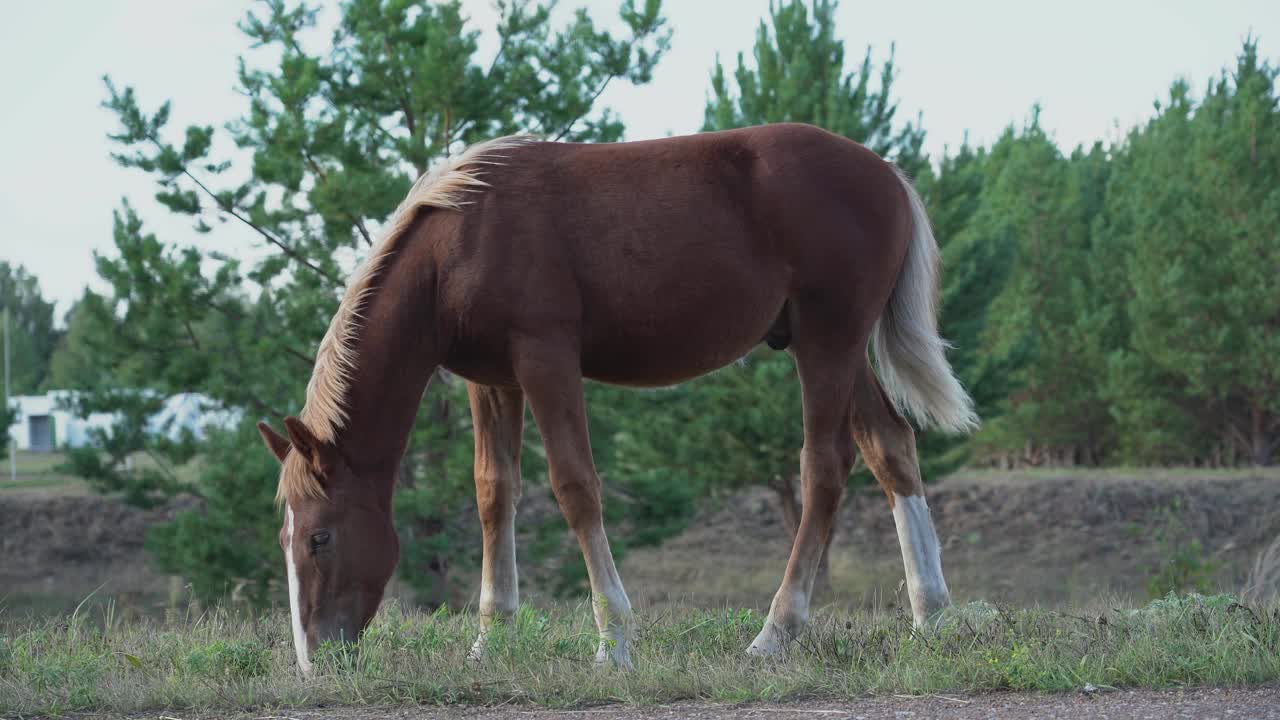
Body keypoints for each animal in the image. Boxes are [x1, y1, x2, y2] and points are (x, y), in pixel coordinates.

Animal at [259, 122, 977, 671]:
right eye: (285, 538)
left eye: (319, 538)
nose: (313, 660)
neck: (459, 242)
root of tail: (885, 173)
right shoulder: (491, 381)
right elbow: (495, 494)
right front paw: (491, 641)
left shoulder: (546, 359)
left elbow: (575, 486)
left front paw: (614, 642)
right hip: (831, 347)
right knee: (890, 446)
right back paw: (933, 615)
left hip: (828, 342)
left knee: (824, 468)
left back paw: (776, 632)